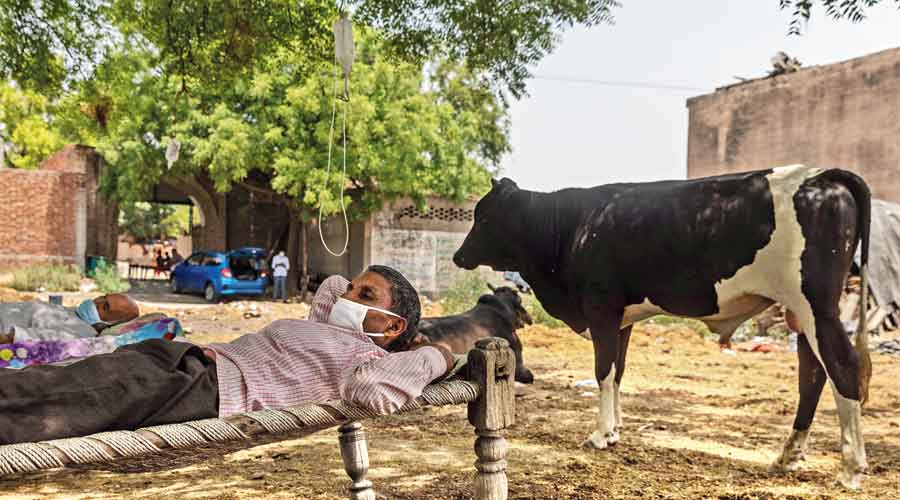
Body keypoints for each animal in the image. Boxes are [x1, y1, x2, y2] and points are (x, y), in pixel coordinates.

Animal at [454, 166, 876, 490]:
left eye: (484, 216)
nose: (458, 256)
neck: (571, 227)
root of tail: (821, 175)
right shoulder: (621, 319)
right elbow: (618, 373)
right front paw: (615, 431)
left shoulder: (601, 308)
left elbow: (603, 372)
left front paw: (600, 435)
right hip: (802, 314)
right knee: (813, 376)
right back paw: (787, 457)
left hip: (816, 306)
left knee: (843, 369)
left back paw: (851, 469)